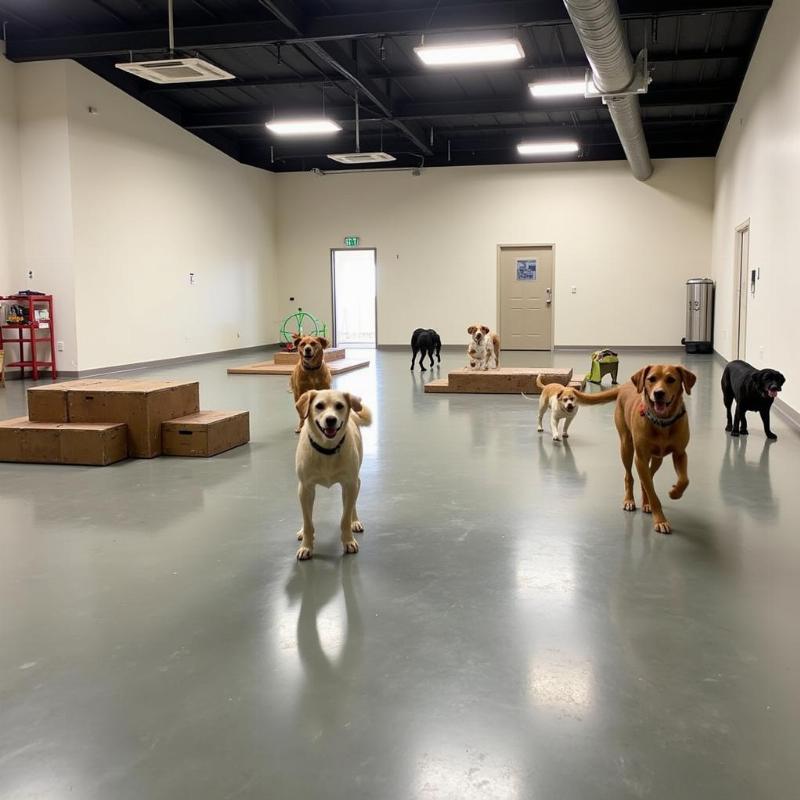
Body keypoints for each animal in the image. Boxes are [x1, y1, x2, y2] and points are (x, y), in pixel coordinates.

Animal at [294, 390, 372, 560]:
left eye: (339, 406)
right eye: (319, 406)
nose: (331, 420)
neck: (327, 449)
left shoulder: (349, 485)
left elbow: (345, 518)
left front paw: (348, 541)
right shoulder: (305, 489)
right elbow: (308, 522)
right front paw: (306, 546)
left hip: (355, 483)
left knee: (352, 505)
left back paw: (355, 521)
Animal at [572, 366, 696, 536]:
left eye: (671, 379)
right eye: (651, 379)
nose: (658, 393)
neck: (662, 423)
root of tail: (624, 386)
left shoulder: (680, 454)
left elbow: (684, 480)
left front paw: (675, 492)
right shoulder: (640, 458)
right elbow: (651, 491)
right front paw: (660, 520)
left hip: (657, 458)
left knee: (648, 476)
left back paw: (646, 501)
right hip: (626, 447)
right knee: (629, 476)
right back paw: (629, 500)